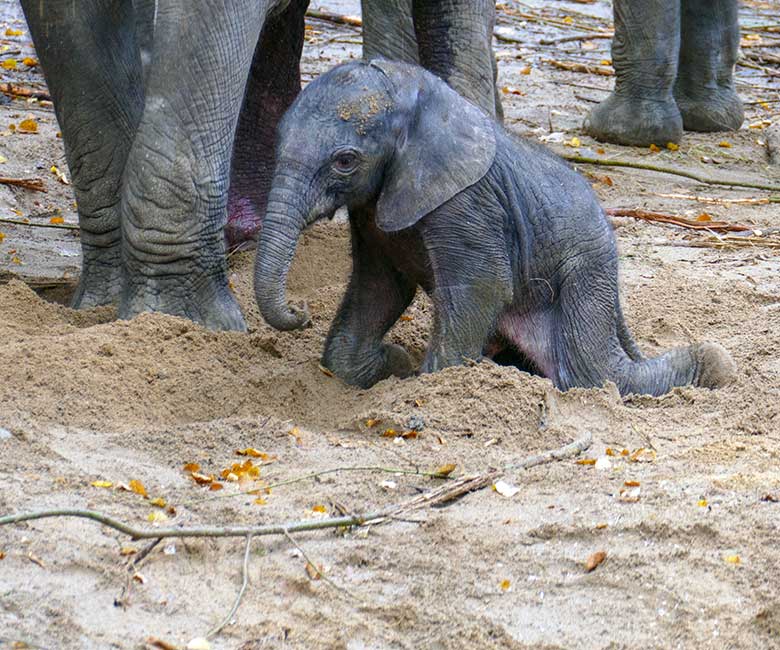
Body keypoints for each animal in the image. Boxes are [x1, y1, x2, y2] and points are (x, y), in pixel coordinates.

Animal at [256, 60, 736, 394]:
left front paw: (427, 384)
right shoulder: (374, 210)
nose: (300, 311)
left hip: (587, 270)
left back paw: (715, 363)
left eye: (345, 161)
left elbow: (478, 287)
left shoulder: (469, 205)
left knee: (595, 372)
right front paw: (394, 364)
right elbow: (381, 287)